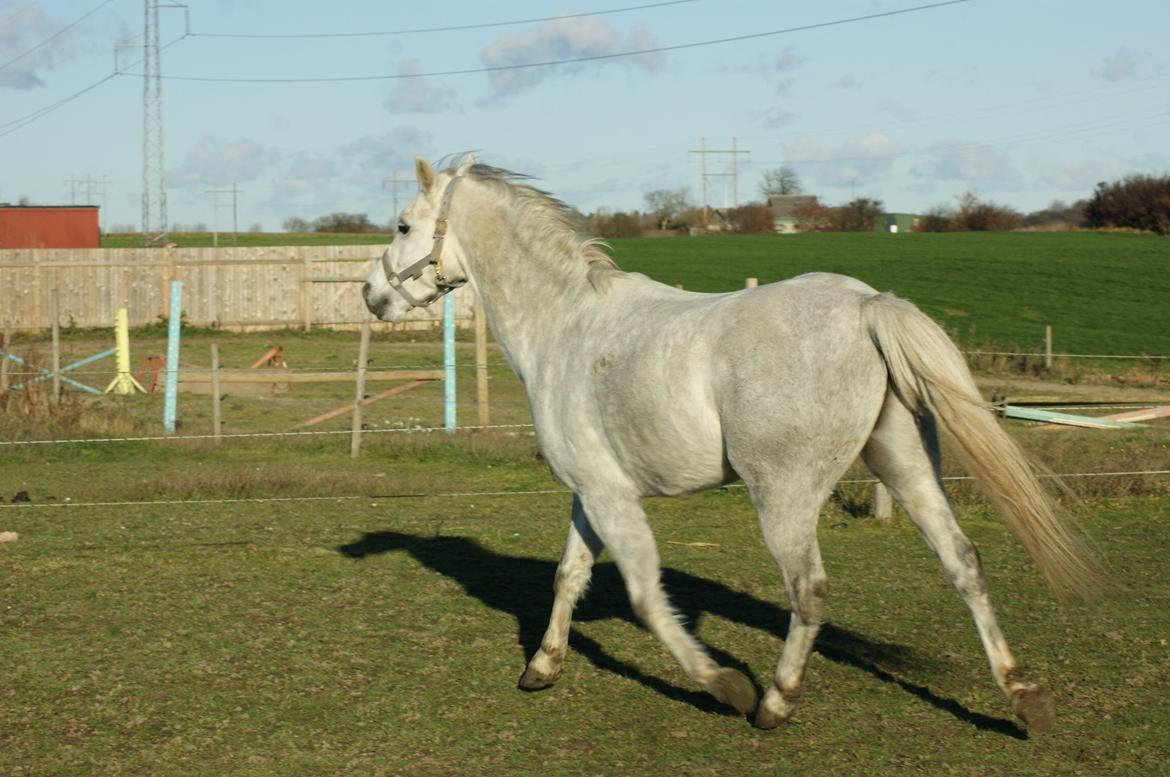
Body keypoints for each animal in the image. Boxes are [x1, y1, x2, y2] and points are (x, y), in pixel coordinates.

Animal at [362, 155, 1098, 731]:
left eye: (402, 225)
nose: (370, 294)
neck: (565, 325)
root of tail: (867, 306)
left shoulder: (611, 497)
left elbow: (645, 597)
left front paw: (725, 685)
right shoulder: (591, 491)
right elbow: (569, 574)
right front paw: (541, 667)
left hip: (784, 497)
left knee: (810, 590)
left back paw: (774, 701)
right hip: (906, 468)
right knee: (964, 563)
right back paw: (1023, 697)